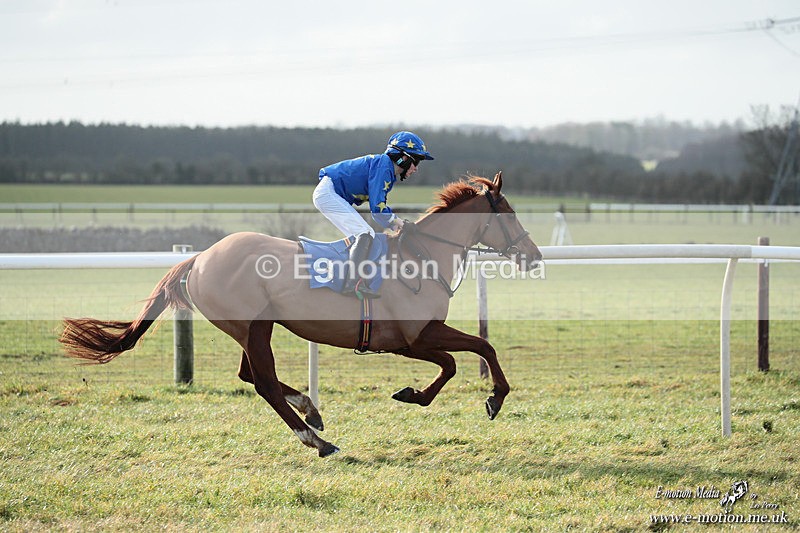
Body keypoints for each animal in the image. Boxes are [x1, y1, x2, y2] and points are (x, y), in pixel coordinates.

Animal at [60, 172, 542, 457]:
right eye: (510, 214)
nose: (534, 256)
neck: (422, 258)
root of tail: (198, 258)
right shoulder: (413, 338)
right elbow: (468, 354)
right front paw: (479, 397)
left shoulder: (418, 337)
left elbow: (472, 352)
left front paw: (453, 395)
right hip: (251, 327)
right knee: (264, 383)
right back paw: (318, 440)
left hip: (255, 327)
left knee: (251, 375)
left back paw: (311, 412)